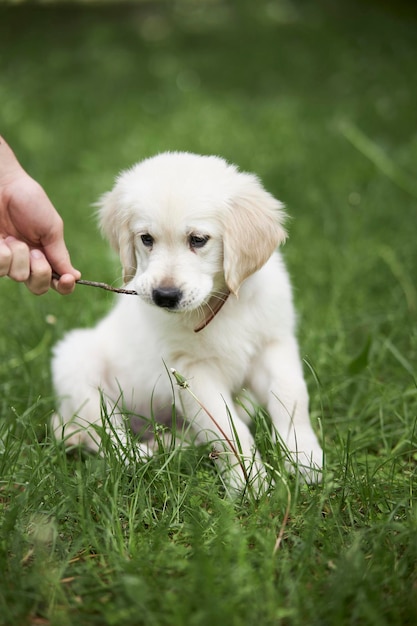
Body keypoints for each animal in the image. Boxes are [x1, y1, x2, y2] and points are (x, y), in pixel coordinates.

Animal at [51, 152, 322, 492]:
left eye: (198, 239)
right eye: (146, 238)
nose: (164, 296)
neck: (220, 304)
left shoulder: (273, 344)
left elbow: (292, 397)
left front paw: (305, 459)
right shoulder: (191, 371)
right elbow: (228, 430)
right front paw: (250, 481)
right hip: (74, 362)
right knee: (100, 429)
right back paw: (139, 455)